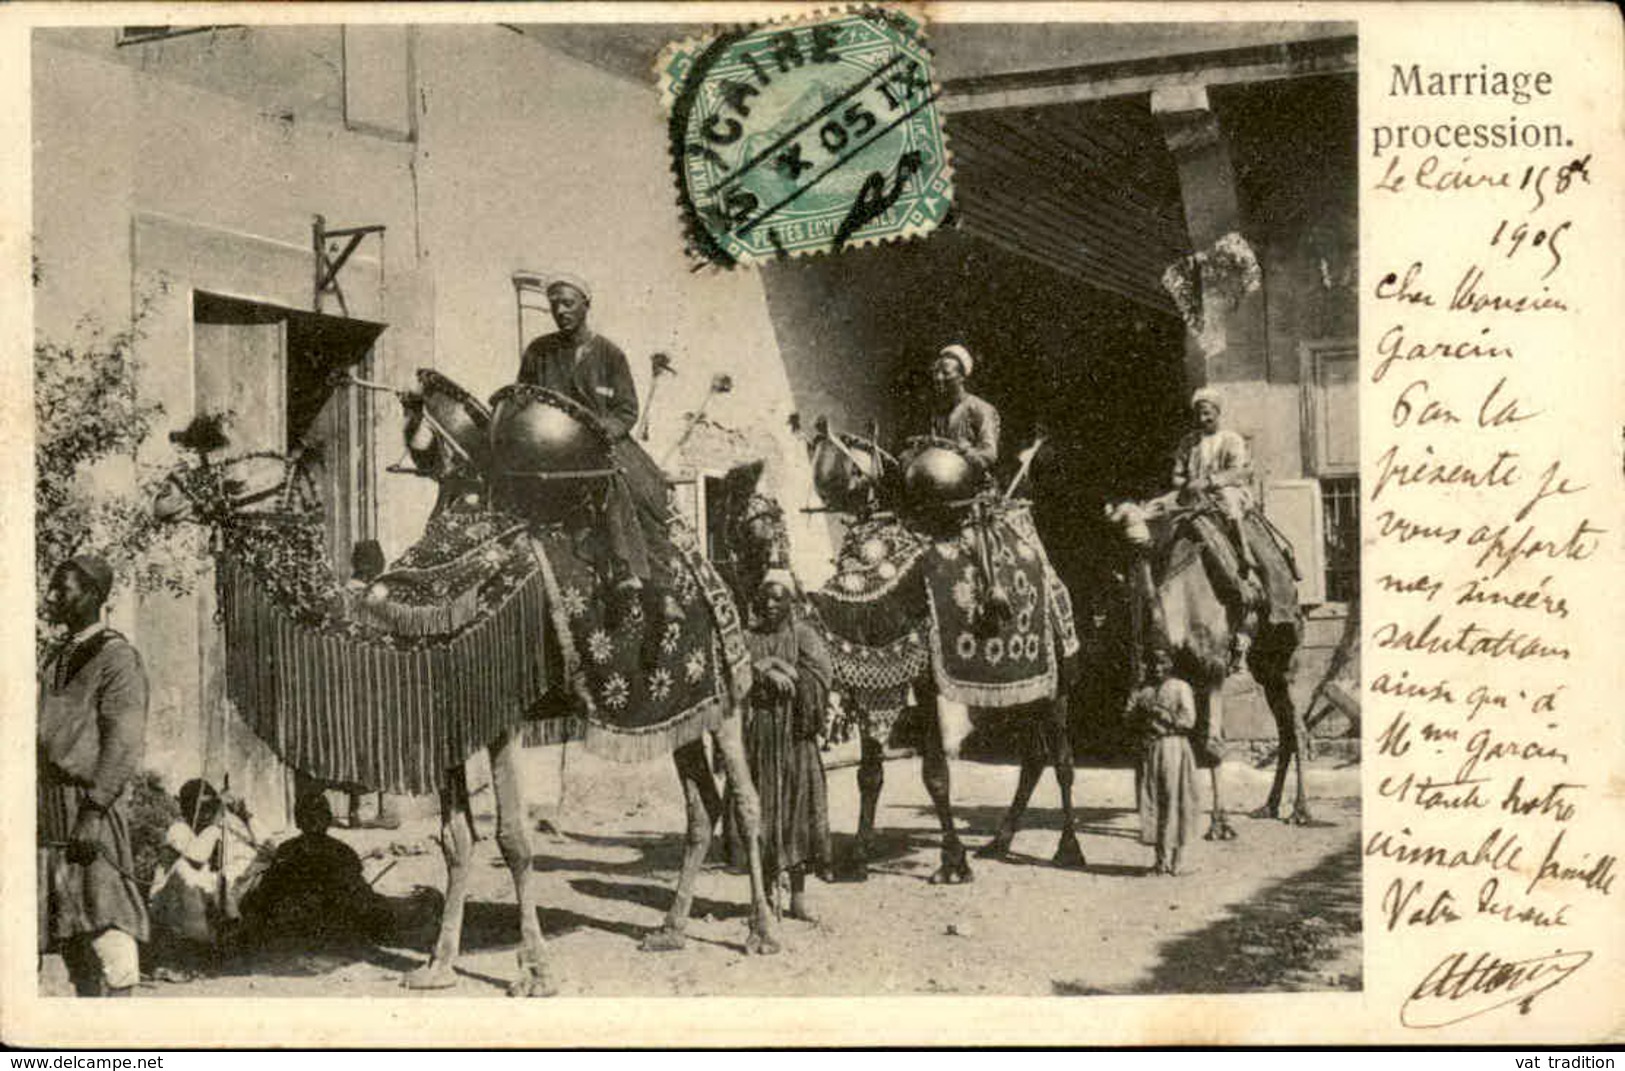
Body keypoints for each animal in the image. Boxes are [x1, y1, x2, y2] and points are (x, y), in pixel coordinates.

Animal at [153, 377, 780, 994]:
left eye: (236, 477)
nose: (163, 495)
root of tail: (708, 571)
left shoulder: (498, 716)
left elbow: (515, 839)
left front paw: (535, 971)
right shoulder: (450, 718)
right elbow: (455, 840)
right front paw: (438, 966)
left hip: (726, 697)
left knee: (747, 800)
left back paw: (762, 932)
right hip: (678, 708)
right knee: (701, 803)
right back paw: (670, 930)